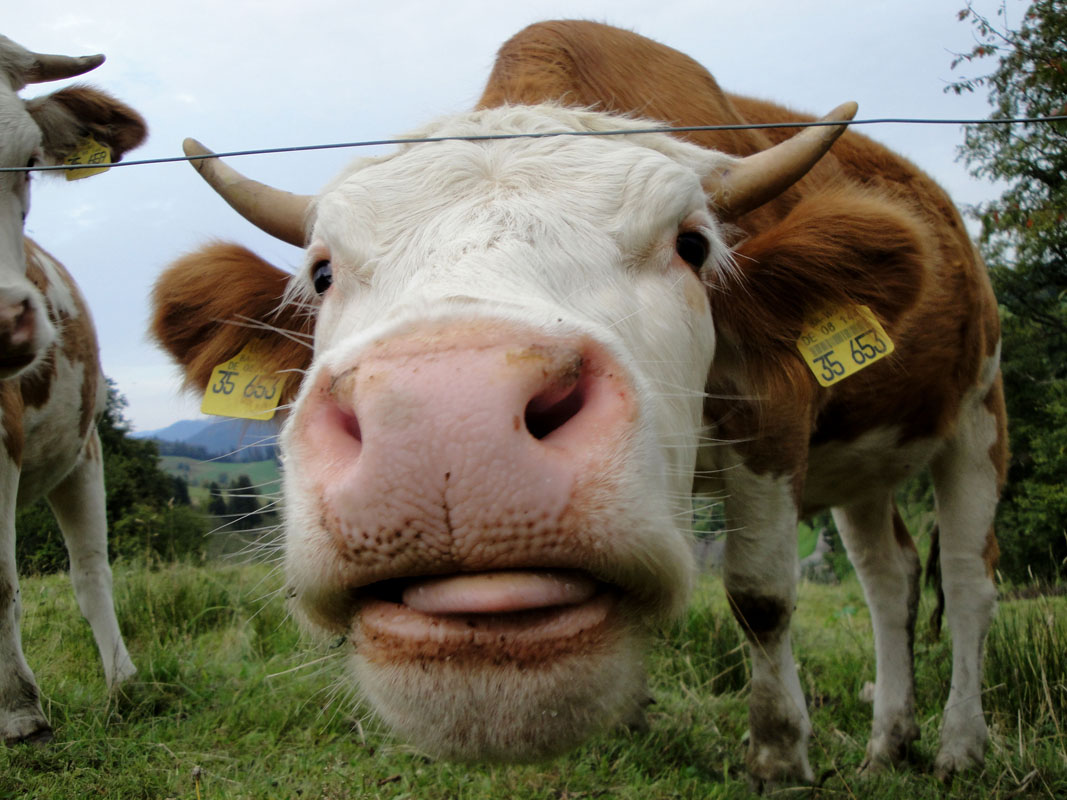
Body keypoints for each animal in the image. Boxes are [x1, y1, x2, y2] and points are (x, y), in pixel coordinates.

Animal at [148, 20, 998, 789]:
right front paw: (629, 724)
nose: (446, 418)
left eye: (692, 245)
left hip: (978, 410)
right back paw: (888, 742)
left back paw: (959, 747)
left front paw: (779, 756)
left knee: (966, 579)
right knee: (889, 576)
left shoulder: (772, 416)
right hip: (864, 464)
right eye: (321, 272)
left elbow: (759, 597)